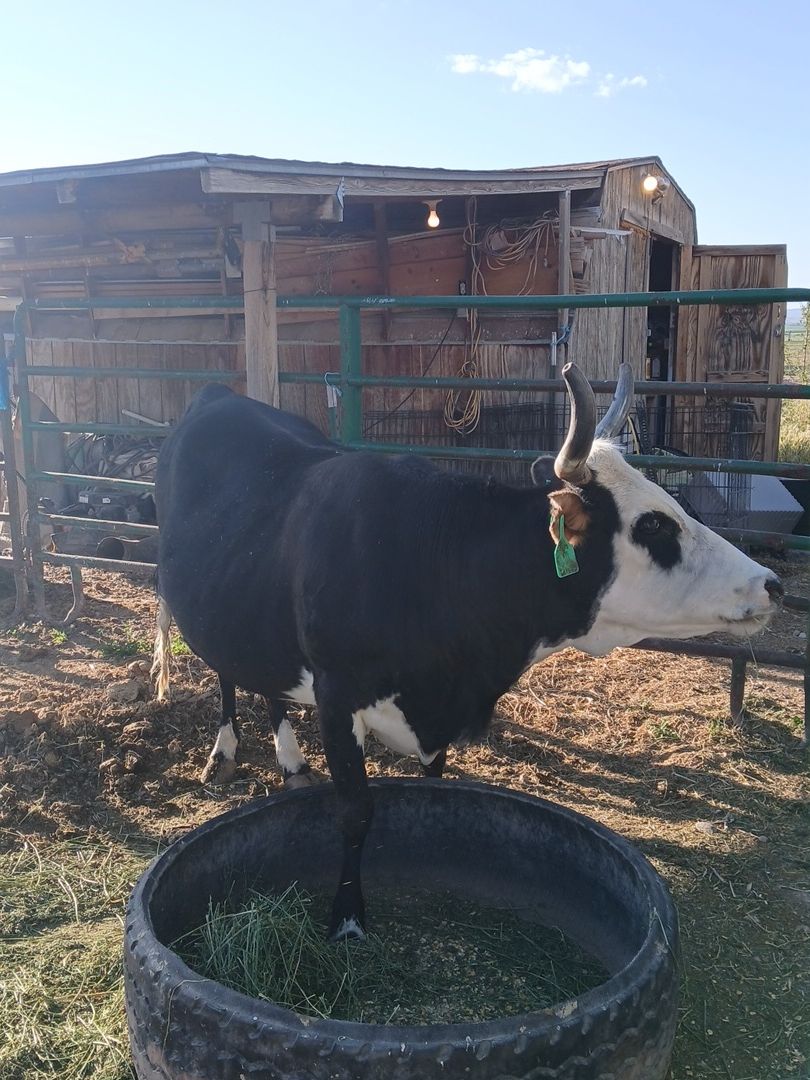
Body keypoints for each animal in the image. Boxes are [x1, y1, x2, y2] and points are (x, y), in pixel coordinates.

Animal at [152, 363, 781, 940]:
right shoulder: (337, 695)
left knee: (270, 683)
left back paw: (290, 761)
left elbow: (436, 787)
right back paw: (224, 752)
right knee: (227, 674)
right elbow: (355, 812)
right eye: (653, 526)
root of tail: (220, 395)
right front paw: (347, 918)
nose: (770, 584)